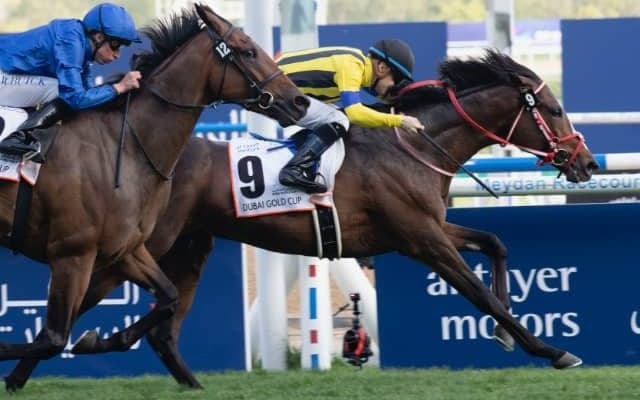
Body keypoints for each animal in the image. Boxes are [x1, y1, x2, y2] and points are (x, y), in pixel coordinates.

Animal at [0, 3, 307, 387]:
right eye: (249, 51)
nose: (299, 100)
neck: (125, 144)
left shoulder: (125, 250)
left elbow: (168, 298)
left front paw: (99, 340)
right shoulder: (72, 254)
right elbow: (51, 338)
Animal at [5, 51, 598, 390]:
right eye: (554, 110)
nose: (587, 163)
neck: (412, 147)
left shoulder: (426, 230)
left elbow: (495, 243)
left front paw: (505, 337)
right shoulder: (422, 238)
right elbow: (479, 293)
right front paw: (549, 350)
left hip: (188, 247)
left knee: (156, 328)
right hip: (137, 244)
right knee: (82, 307)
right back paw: (43, 362)